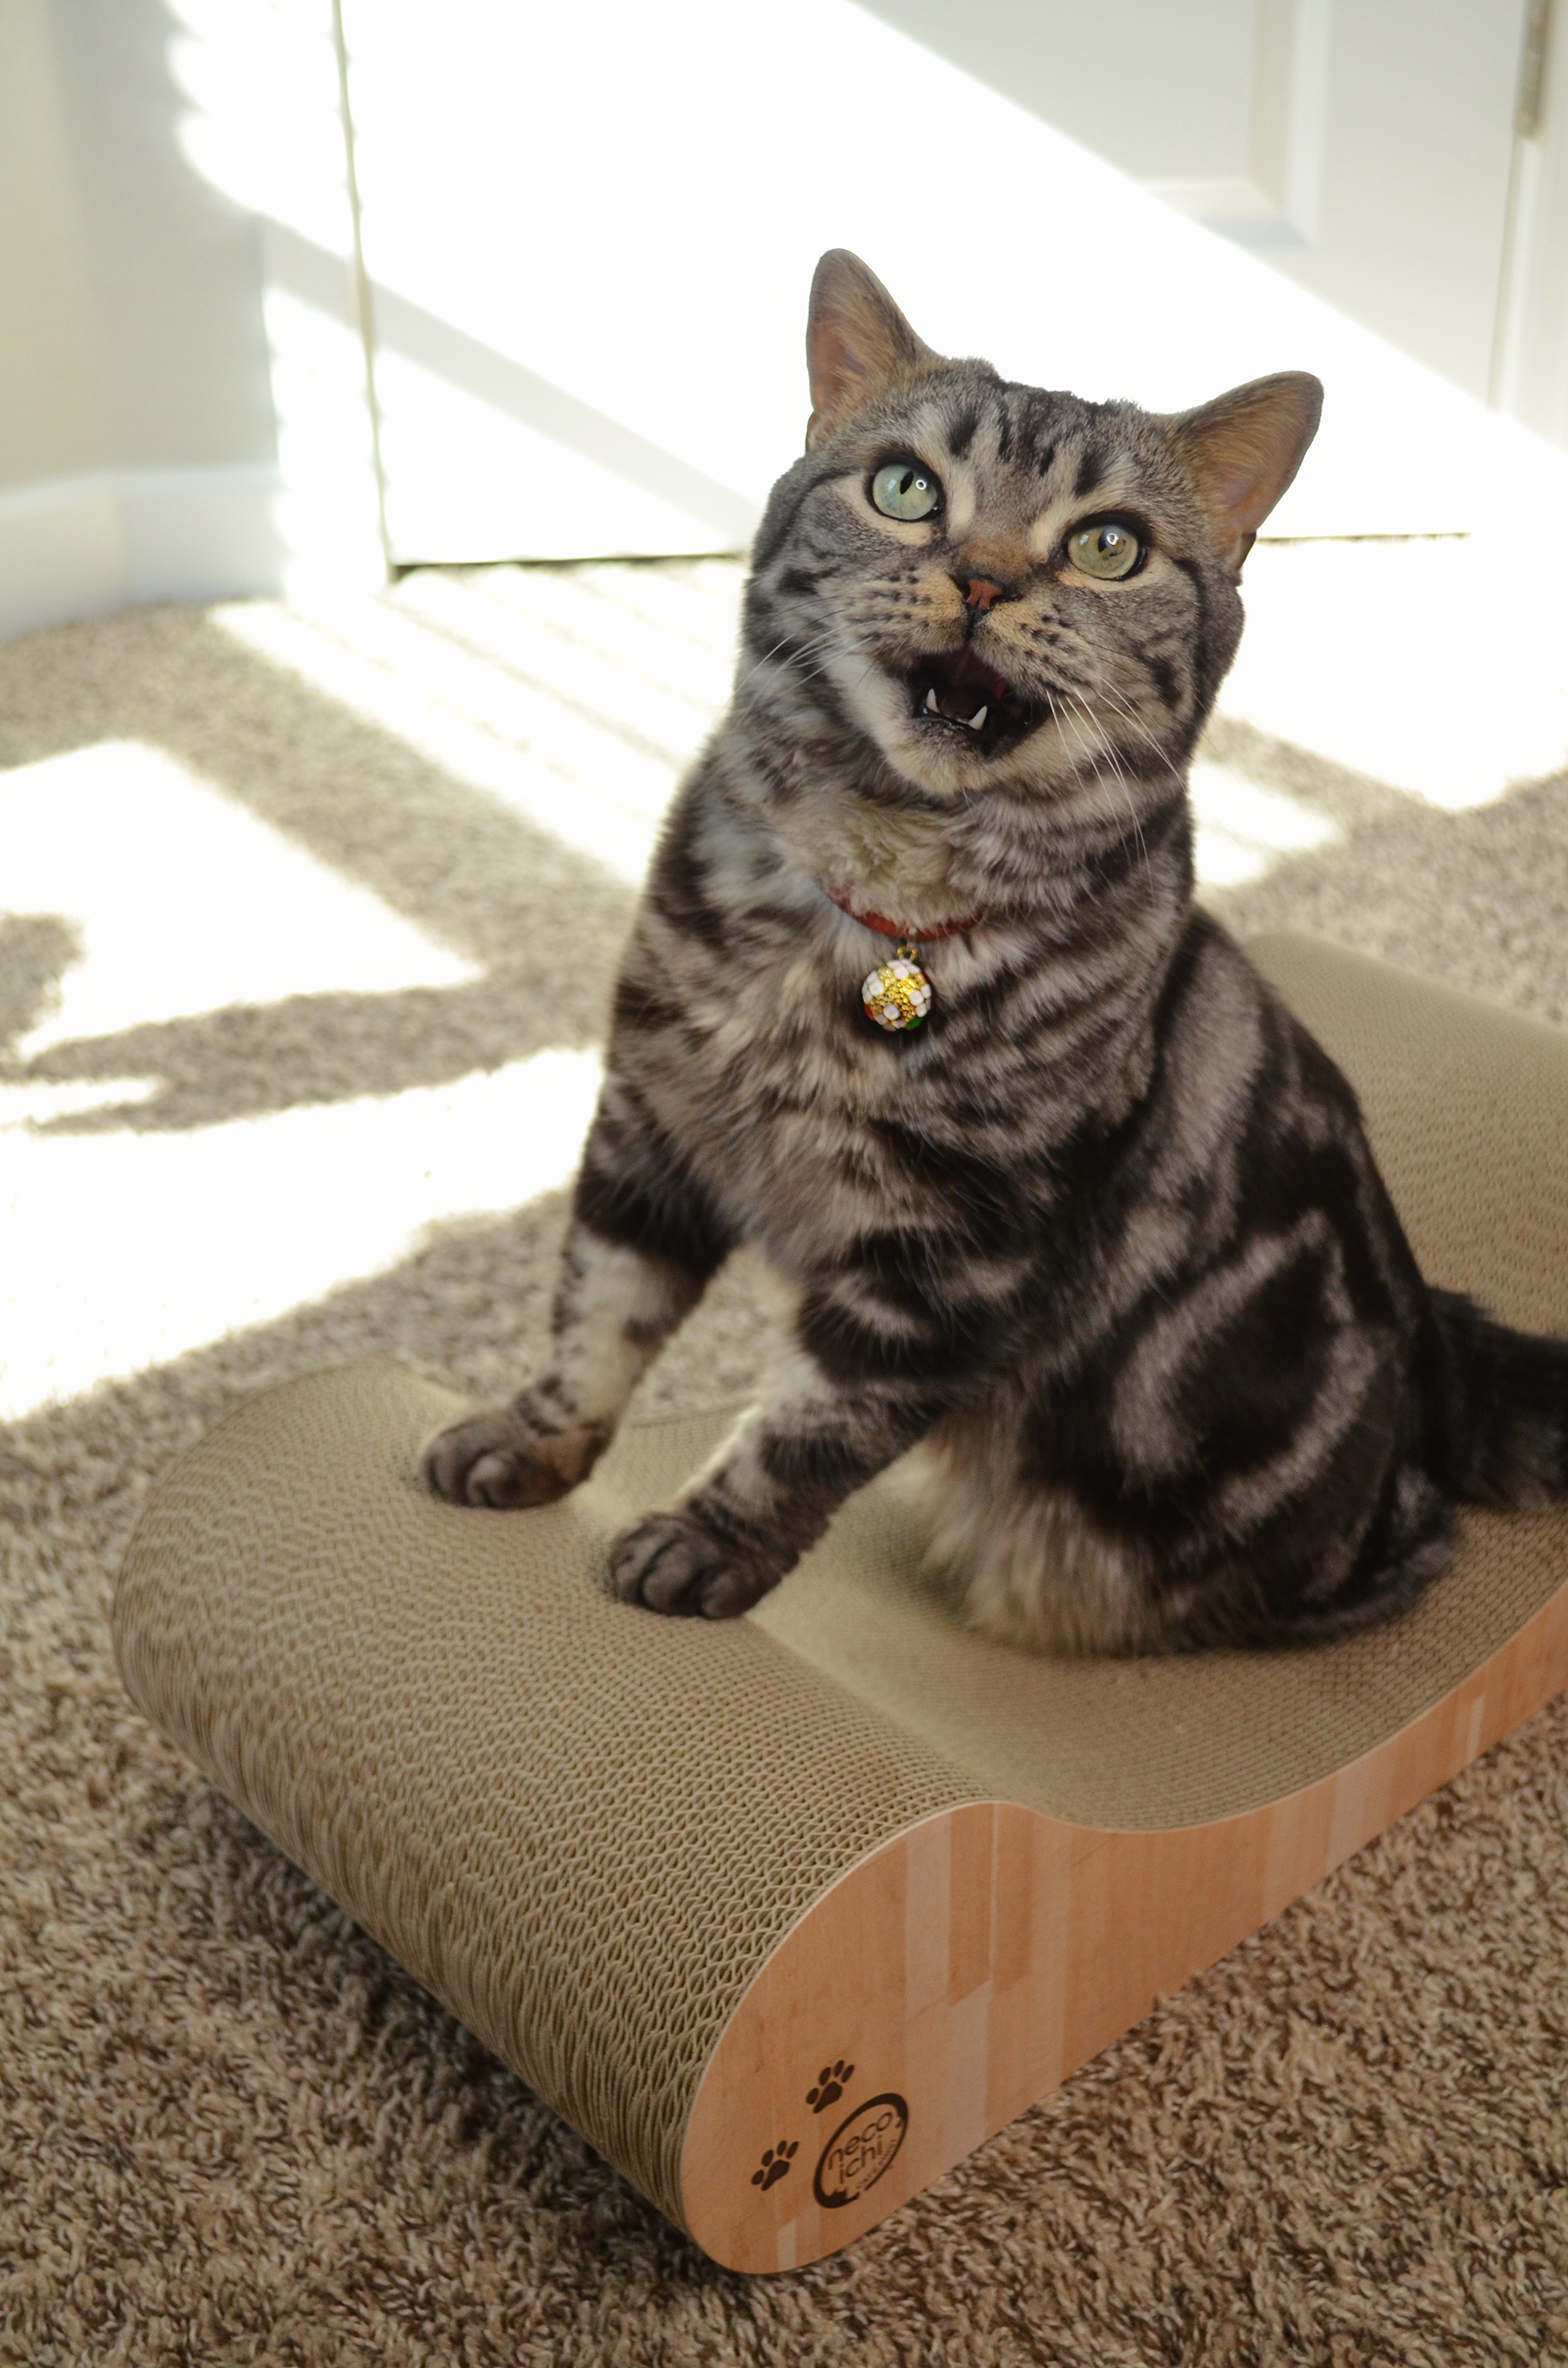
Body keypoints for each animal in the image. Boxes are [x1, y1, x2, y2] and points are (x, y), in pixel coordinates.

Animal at [423, 245, 1568, 1648]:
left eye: (1109, 545)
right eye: (906, 487)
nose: (981, 577)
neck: (875, 905)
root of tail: (1429, 1330)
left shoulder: (952, 1259)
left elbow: (808, 1427)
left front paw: (705, 1543)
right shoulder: (650, 1126)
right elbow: (596, 1315)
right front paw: (531, 1440)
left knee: (1403, 1555)